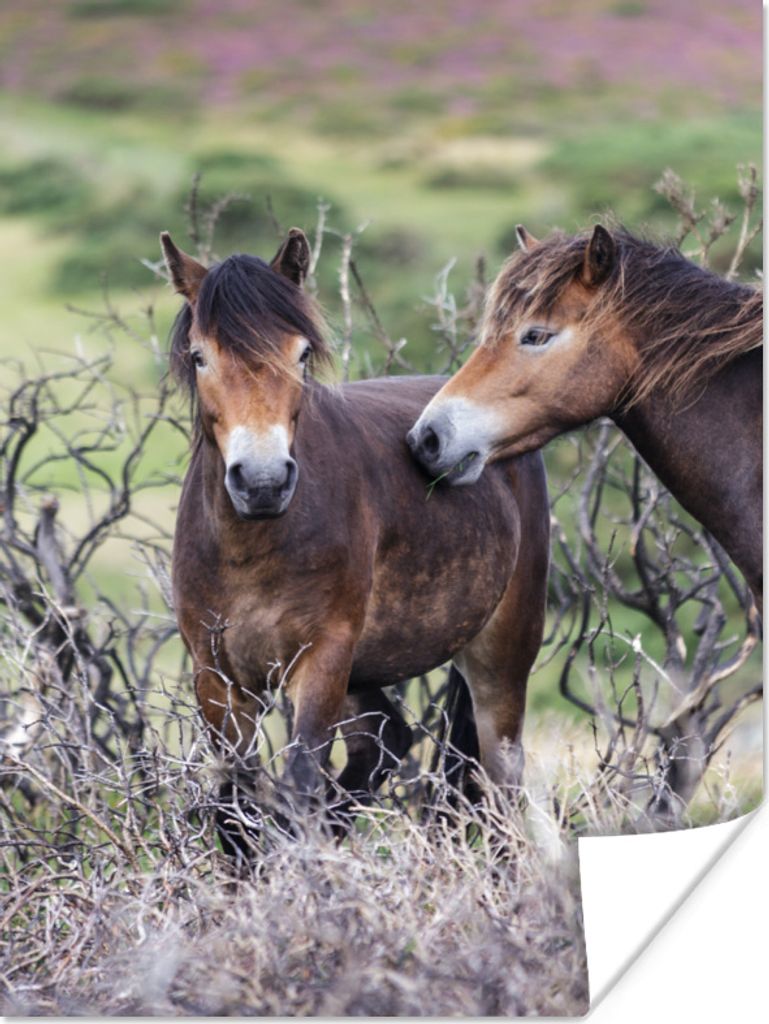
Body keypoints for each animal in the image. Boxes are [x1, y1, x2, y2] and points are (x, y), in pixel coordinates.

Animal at [160, 227, 550, 857]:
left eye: (300, 354)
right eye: (200, 356)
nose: (263, 480)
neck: (252, 547)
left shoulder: (321, 661)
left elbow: (297, 784)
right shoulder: (216, 679)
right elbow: (233, 808)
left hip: (498, 657)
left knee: (498, 781)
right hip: (363, 676)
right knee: (386, 742)